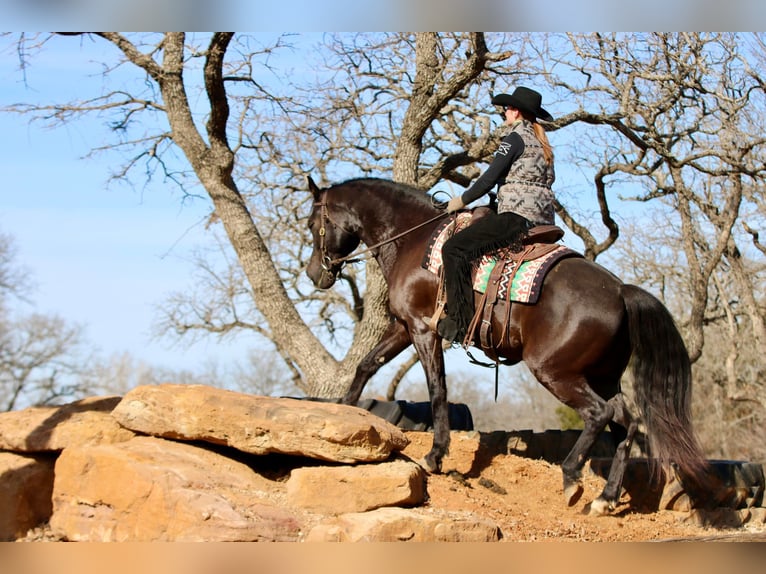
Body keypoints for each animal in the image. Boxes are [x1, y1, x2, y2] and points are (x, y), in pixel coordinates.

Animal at [304, 178, 720, 516]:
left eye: (311, 225)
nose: (314, 273)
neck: (413, 238)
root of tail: (620, 291)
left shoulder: (423, 330)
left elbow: (437, 389)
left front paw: (436, 454)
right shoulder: (404, 326)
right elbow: (367, 364)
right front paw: (343, 413)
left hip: (554, 371)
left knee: (599, 414)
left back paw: (572, 477)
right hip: (602, 377)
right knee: (626, 422)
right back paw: (605, 498)